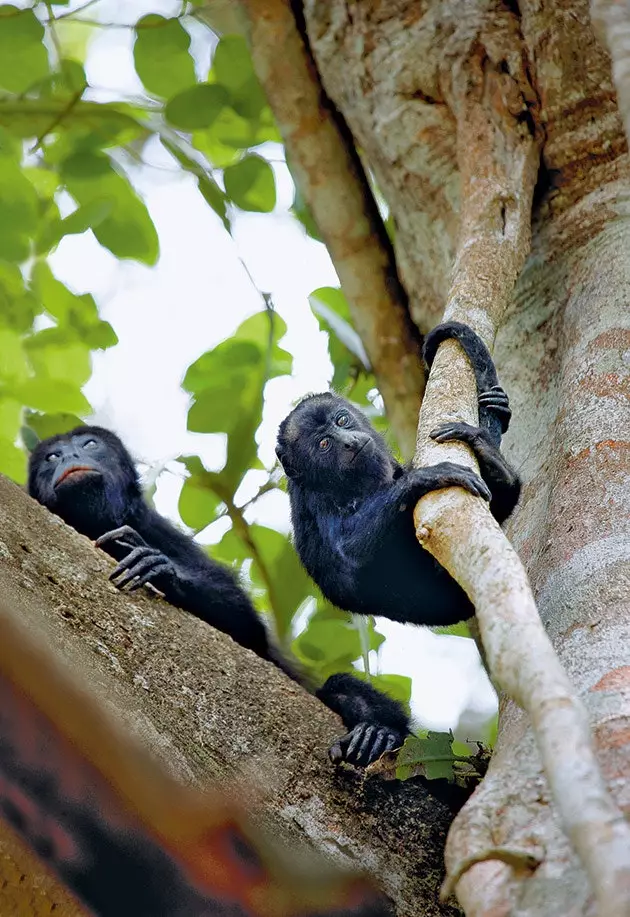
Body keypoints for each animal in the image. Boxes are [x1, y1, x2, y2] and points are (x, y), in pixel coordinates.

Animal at [28, 428, 410, 764]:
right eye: (52, 457)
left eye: (90, 444)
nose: (70, 457)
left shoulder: (152, 526)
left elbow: (247, 625)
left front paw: (161, 567)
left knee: (337, 686)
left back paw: (377, 733)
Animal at [278, 322, 524, 628]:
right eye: (324, 444)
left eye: (342, 420)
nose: (349, 441)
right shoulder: (313, 498)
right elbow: (349, 549)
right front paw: (429, 476)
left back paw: (495, 464)